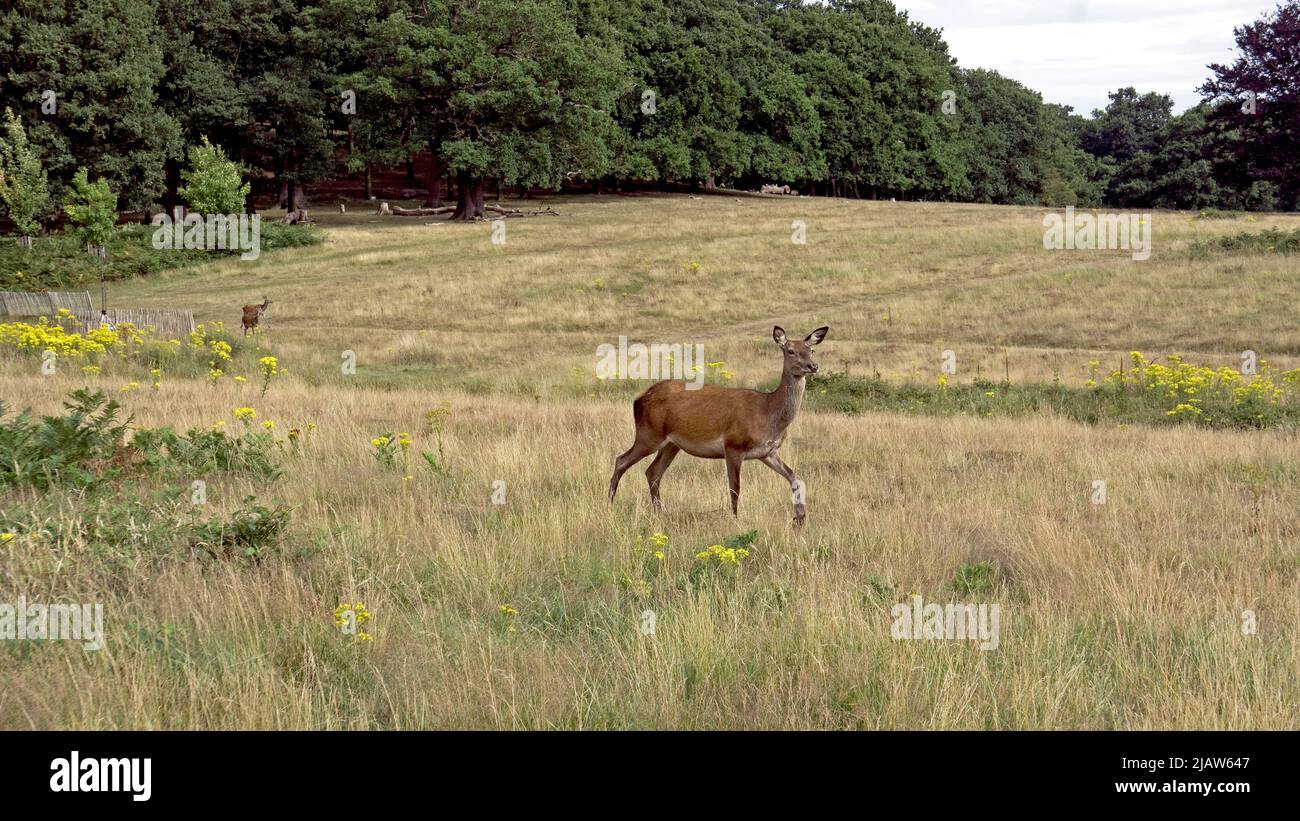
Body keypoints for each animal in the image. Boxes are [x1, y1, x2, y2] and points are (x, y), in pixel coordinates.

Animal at [609, 325, 828, 526]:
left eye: (811, 350)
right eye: (790, 350)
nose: (813, 366)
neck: (768, 413)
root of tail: (638, 398)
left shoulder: (767, 452)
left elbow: (794, 477)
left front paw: (799, 518)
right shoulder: (733, 445)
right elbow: (735, 488)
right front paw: (735, 520)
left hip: (672, 444)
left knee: (652, 472)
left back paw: (660, 513)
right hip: (648, 434)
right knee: (621, 460)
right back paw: (610, 505)